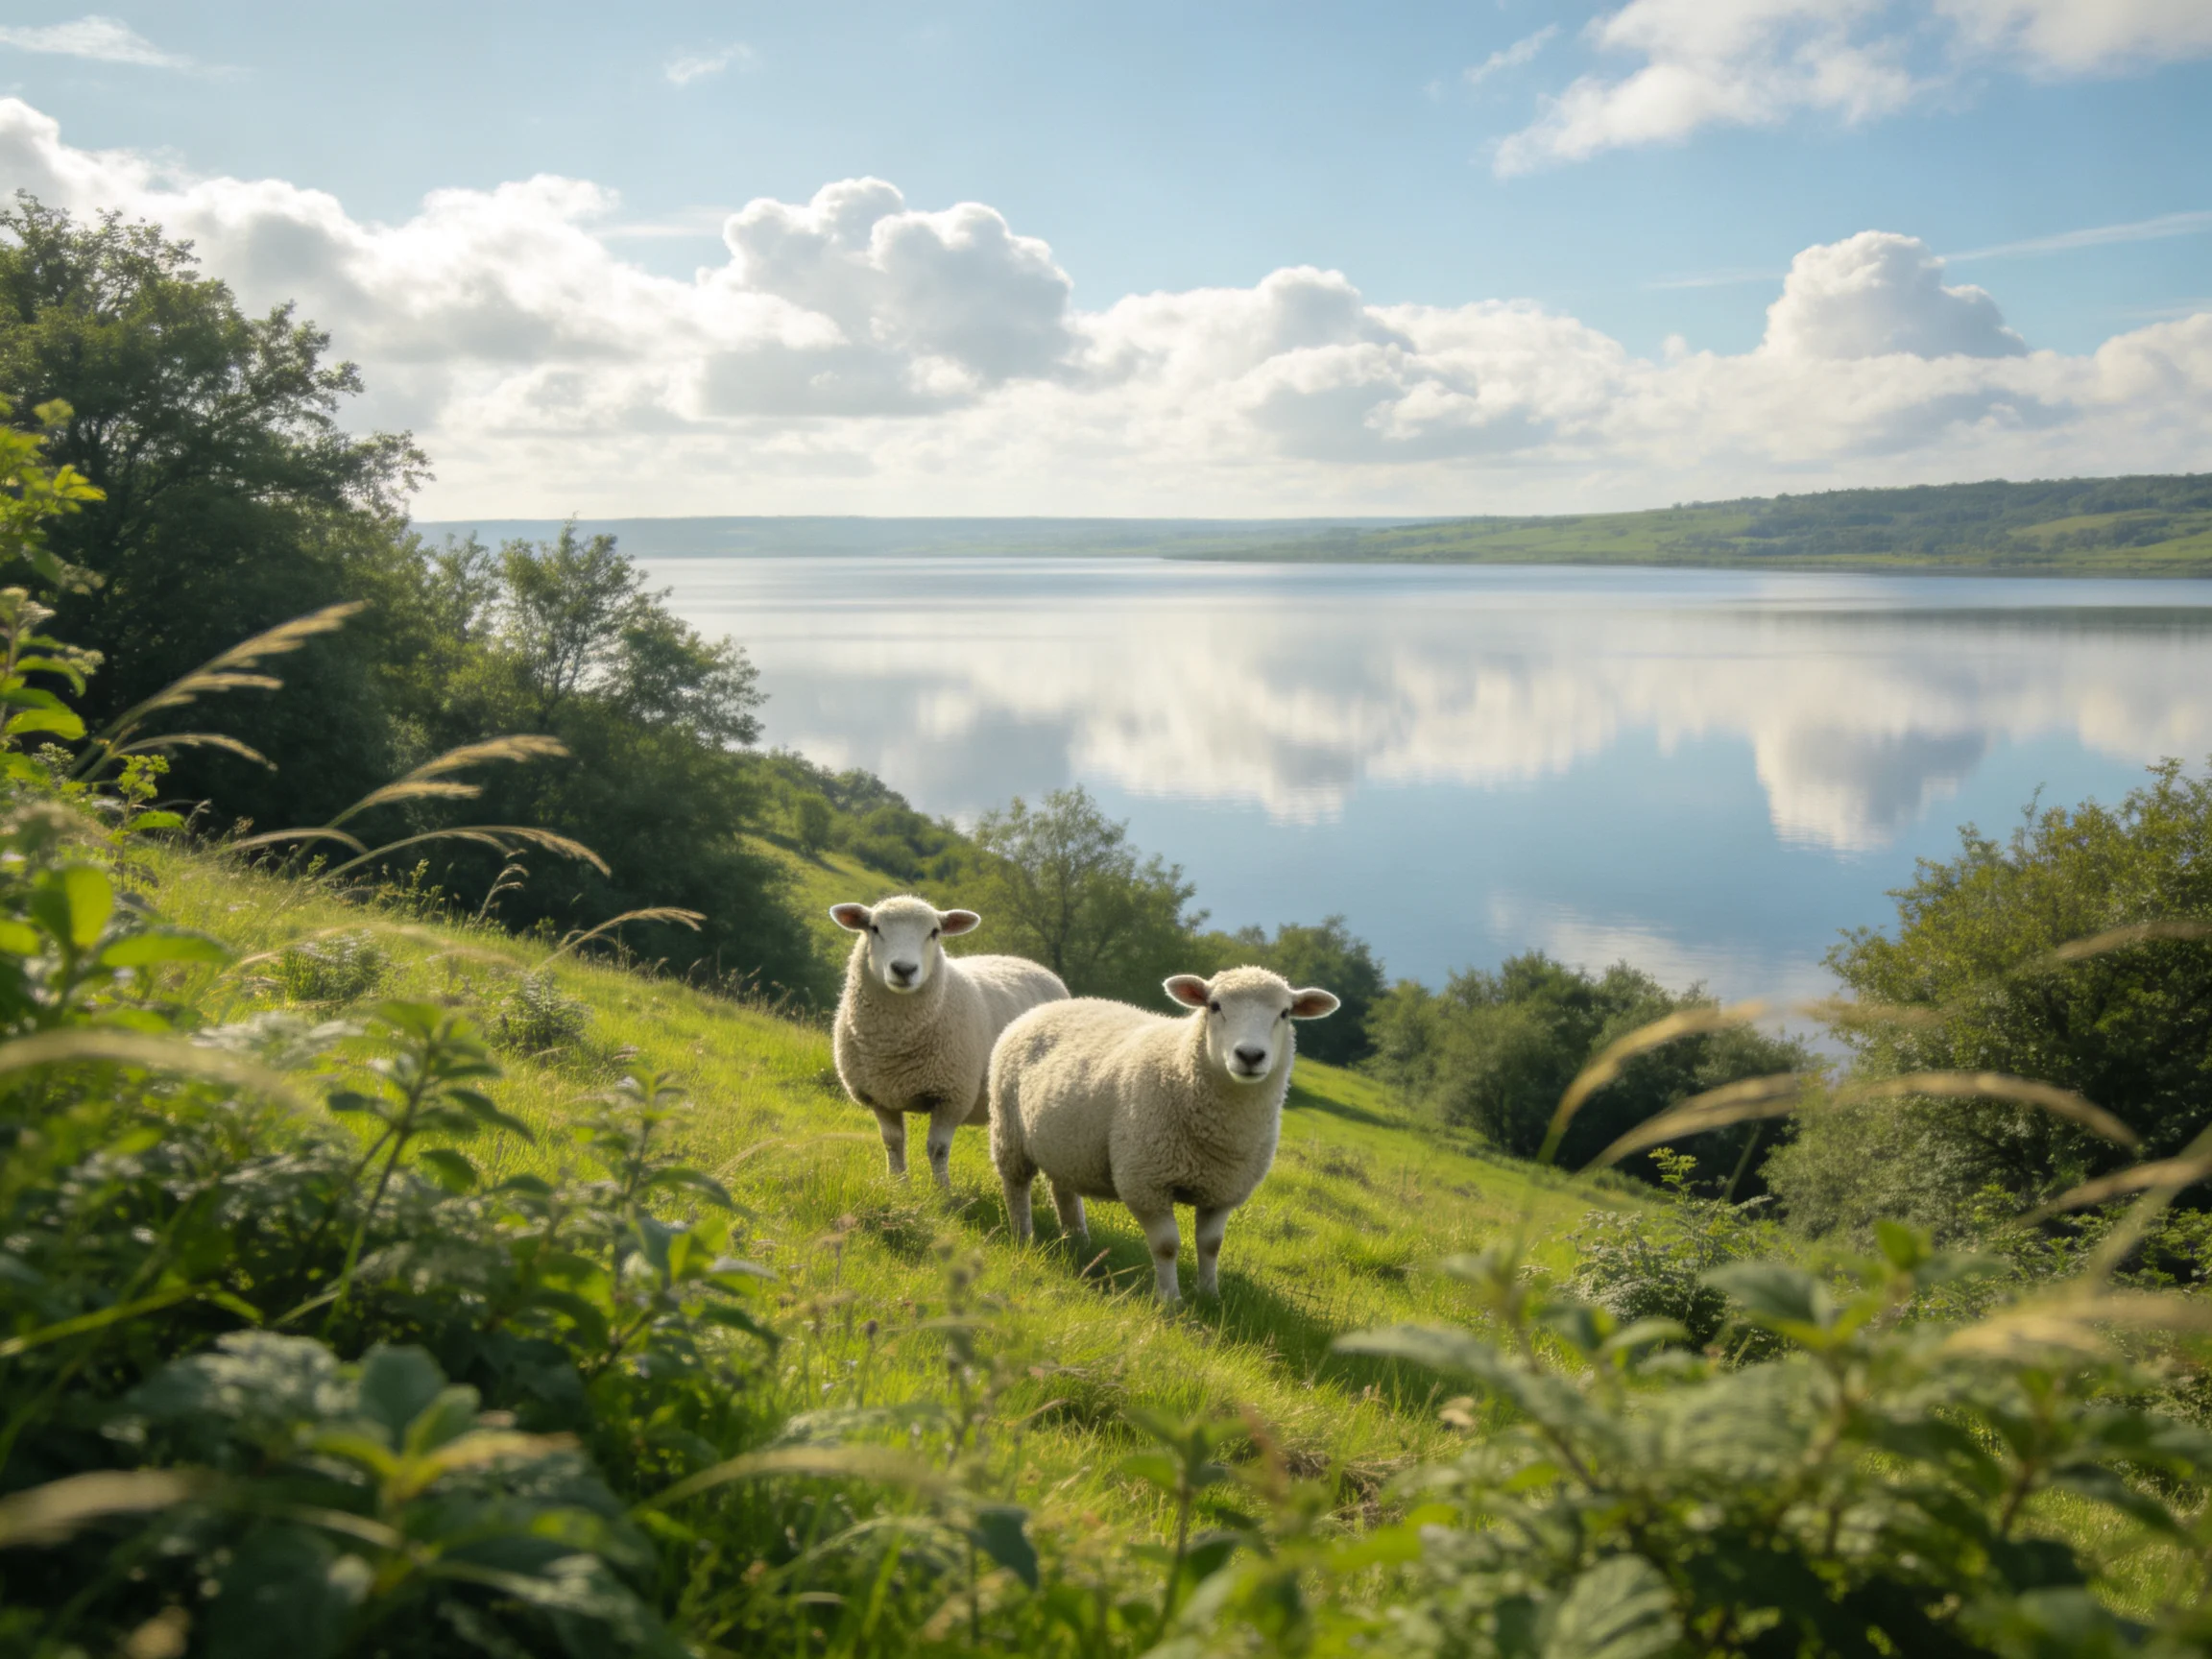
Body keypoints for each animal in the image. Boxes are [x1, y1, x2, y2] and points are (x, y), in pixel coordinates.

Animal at [829, 895, 1069, 1192]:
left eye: (934, 932)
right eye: (874, 928)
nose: (904, 969)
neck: (895, 1041)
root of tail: (1031, 964)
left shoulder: (952, 1096)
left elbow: (937, 1148)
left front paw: (943, 1191)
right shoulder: (880, 1096)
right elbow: (893, 1143)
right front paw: (898, 1186)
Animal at [988, 966, 1339, 1303]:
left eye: (1285, 1013)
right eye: (1214, 1006)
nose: (1250, 1056)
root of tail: (1051, 1006)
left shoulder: (1223, 1191)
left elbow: (1211, 1245)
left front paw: (1210, 1295)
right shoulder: (1147, 1183)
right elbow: (1167, 1246)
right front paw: (1170, 1301)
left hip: (1068, 1145)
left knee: (1063, 1188)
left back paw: (1077, 1240)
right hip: (1009, 1129)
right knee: (1016, 1185)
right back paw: (1024, 1236)